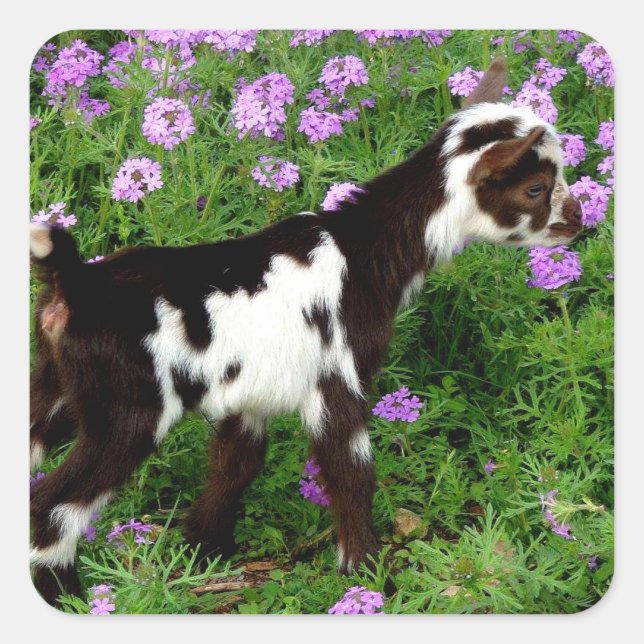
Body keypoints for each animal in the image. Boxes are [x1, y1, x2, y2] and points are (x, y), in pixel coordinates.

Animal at [29, 58, 582, 605]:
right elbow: (351, 472)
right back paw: (71, 597)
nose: (578, 220)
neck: (363, 251)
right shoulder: (338, 374)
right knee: (52, 505)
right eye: (535, 188)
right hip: (129, 409)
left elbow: (235, 466)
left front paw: (203, 551)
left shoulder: (252, 391)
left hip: (56, 387)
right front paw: (368, 574)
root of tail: (73, 281)